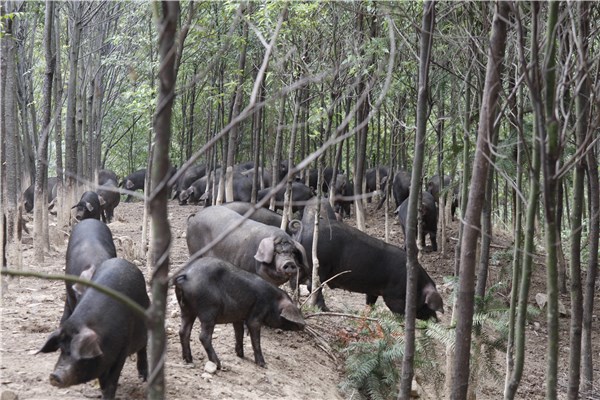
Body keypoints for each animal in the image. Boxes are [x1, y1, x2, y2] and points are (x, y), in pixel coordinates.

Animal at [39, 258, 150, 398]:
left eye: (77, 353)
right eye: (62, 349)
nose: (54, 375)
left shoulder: (123, 348)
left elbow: (112, 380)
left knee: (143, 347)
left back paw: (143, 378)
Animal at [173, 256, 304, 368]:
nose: (303, 325)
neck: (273, 301)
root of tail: (187, 275)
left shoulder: (238, 318)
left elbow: (239, 334)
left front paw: (240, 355)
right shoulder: (257, 312)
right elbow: (255, 337)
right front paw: (263, 365)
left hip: (186, 309)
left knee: (183, 331)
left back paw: (188, 360)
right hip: (208, 311)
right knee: (203, 336)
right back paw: (218, 364)